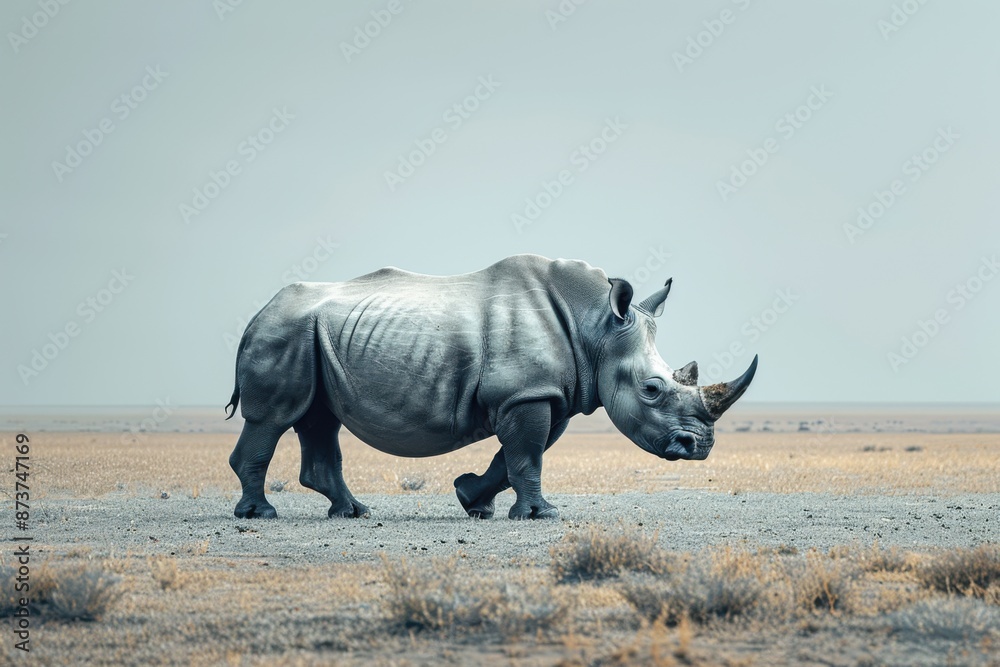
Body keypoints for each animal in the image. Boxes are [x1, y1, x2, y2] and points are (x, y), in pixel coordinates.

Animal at [225, 254, 757, 520]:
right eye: (651, 390)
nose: (698, 447)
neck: (597, 328)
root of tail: (259, 311)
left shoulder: (545, 394)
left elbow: (516, 456)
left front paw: (472, 500)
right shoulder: (526, 393)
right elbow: (527, 454)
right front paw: (541, 516)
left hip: (309, 334)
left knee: (319, 420)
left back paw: (351, 513)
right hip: (284, 331)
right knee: (275, 418)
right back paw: (260, 515)